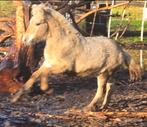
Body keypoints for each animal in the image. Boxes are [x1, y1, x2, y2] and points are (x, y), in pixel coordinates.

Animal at [11, 3, 142, 111]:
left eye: (38, 23)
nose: (25, 40)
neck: (62, 42)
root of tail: (121, 50)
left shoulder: (64, 68)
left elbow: (45, 73)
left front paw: (47, 89)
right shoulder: (47, 63)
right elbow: (35, 75)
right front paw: (16, 97)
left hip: (104, 73)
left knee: (101, 91)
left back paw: (89, 107)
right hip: (108, 74)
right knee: (111, 87)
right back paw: (103, 106)